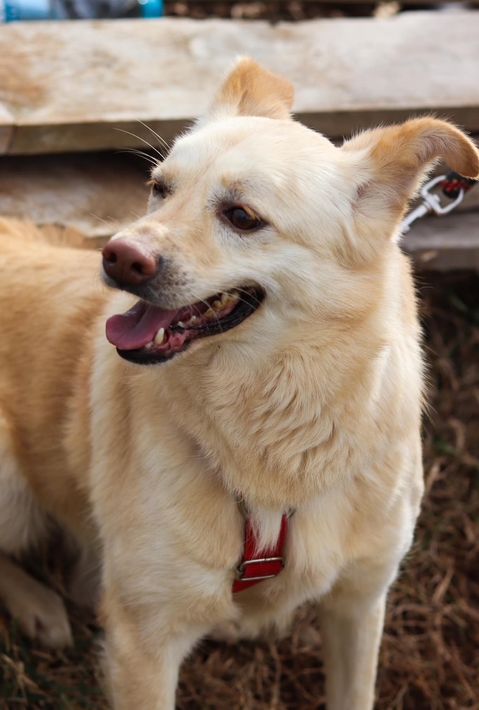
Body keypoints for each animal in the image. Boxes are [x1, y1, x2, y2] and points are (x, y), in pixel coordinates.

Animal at [1, 59, 478, 709]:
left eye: (242, 217)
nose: (118, 257)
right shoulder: (144, 642)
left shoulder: (360, 602)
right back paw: (40, 606)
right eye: (160, 188)